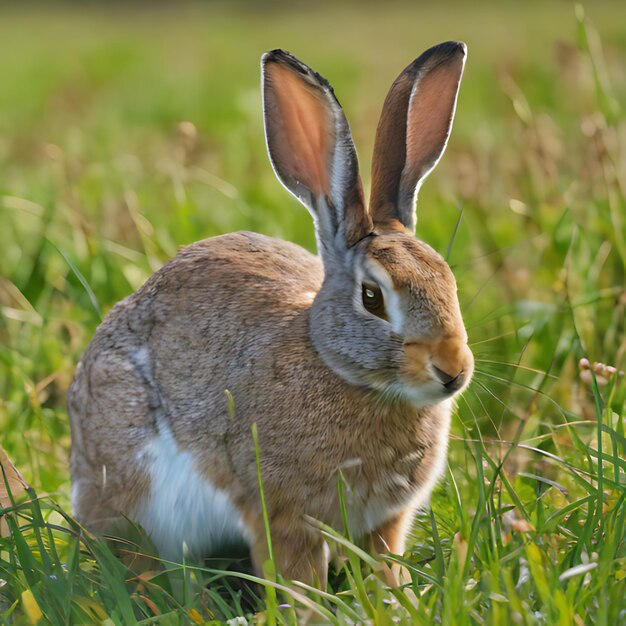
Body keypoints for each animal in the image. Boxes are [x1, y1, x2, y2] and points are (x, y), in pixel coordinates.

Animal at [68, 40, 470, 584]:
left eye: (448, 281)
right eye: (372, 298)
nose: (453, 370)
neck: (339, 369)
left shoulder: (386, 521)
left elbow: (385, 562)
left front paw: (395, 594)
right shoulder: (280, 514)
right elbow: (294, 574)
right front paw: (308, 601)